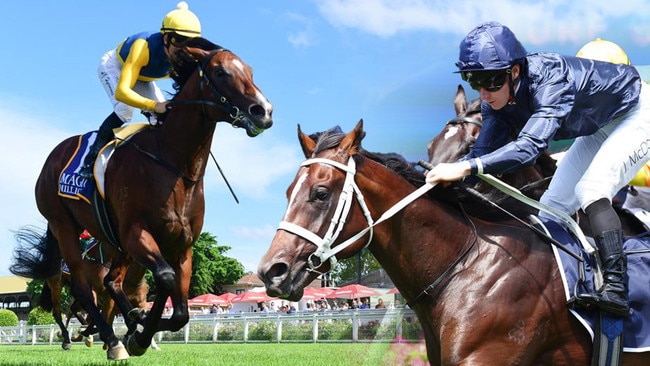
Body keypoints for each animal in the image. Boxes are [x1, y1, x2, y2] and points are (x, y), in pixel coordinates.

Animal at [12, 37, 270, 360]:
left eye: (250, 71)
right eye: (220, 72)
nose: (263, 111)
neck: (173, 163)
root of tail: (53, 157)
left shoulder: (181, 245)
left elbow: (178, 307)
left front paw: (142, 326)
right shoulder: (137, 233)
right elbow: (166, 280)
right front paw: (140, 331)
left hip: (116, 243)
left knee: (110, 282)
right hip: (64, 227)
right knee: (82, 290)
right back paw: (109, 341)